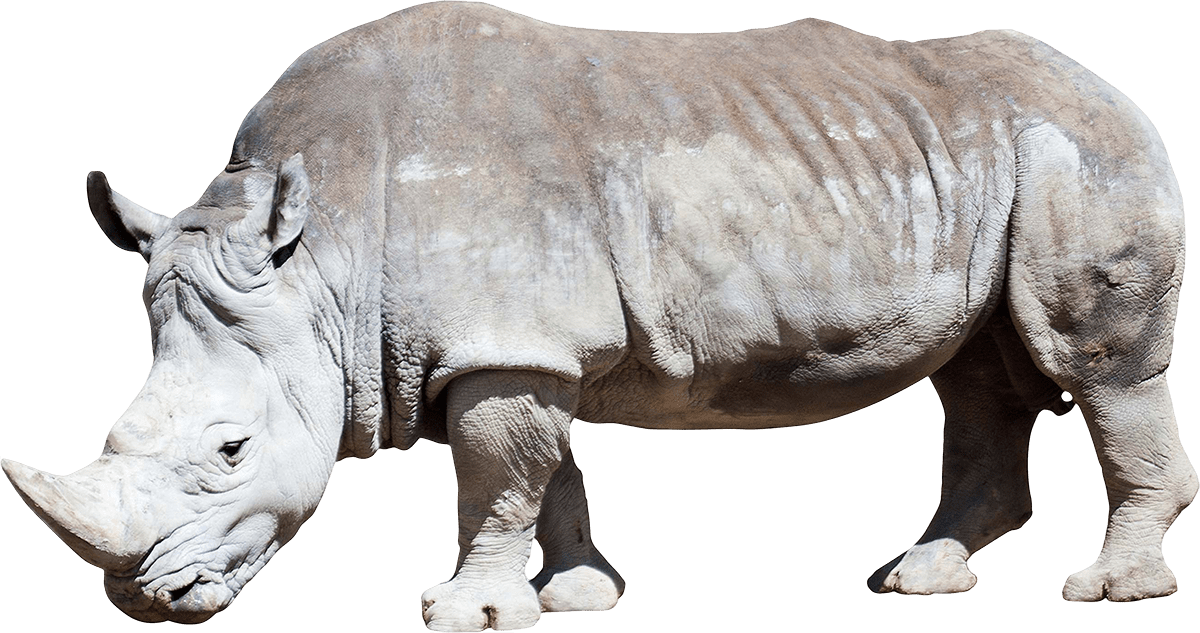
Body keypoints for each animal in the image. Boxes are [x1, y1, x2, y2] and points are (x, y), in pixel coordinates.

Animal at [2, 2, 1194, 630]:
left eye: (231, 450)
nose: (143, 599)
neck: (322, 261)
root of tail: (1109, 86)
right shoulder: (515, 345)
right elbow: (545, 475)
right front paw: (579, 592)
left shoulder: (507, 346)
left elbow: (493, 480)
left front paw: (468, 613)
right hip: (992, 155)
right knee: (980, 374)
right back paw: (922, 576)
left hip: (1088, 146)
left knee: (1097, 369)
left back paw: (1107, 589)